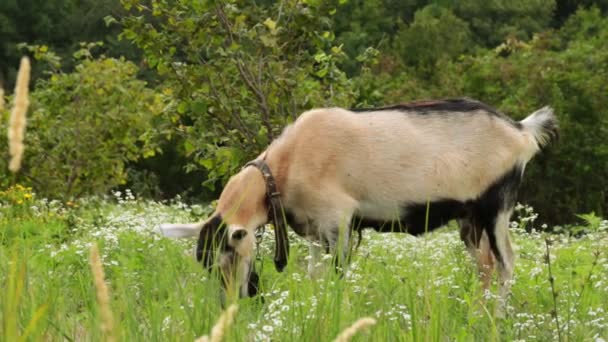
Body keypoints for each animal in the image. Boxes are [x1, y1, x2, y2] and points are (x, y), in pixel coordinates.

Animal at [159, 97, 560, 304]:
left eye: (229, 255)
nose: (236, 300)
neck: (285, 166)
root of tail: (522, 131)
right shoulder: (317, 229)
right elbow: (315, 274)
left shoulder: (338, 220)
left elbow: (335, 274)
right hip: (469, 218)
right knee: (485, 266)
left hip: (496, 205)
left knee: (506, 263)